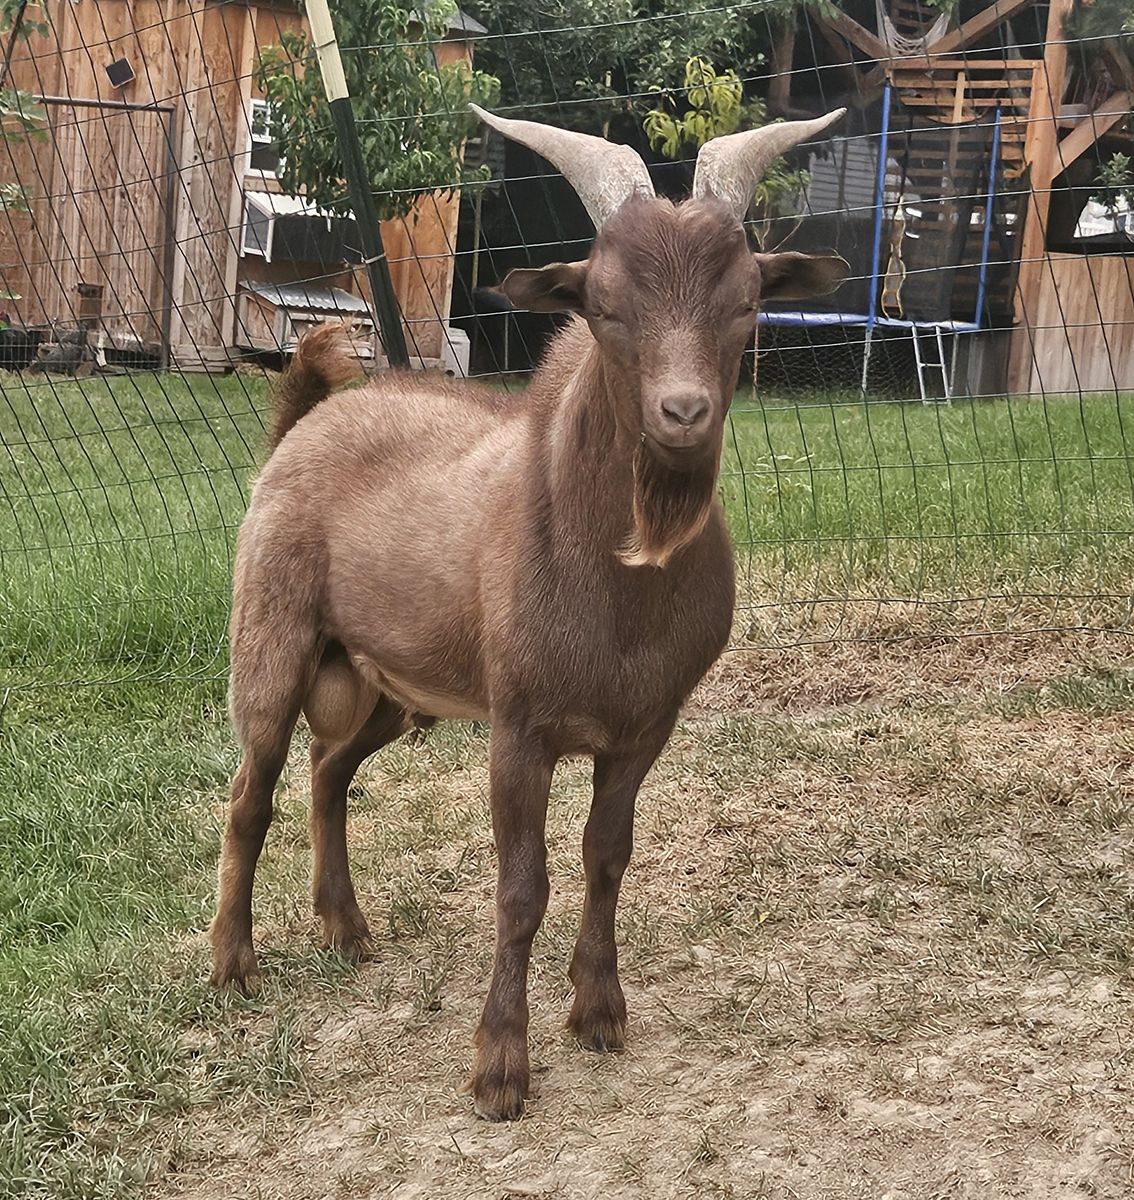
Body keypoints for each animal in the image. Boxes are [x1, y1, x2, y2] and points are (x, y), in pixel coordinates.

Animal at [210, 106, 847, 1121]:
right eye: (605, 304)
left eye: (748, 300)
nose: (684, 412)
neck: (620, 585)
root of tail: (303, 423)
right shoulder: (521, 724)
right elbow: (521, 887)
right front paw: (500, 1067)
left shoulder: (644, 727)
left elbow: (606, 857)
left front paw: (599, 1011)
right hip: (272, 636)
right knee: (252, 790)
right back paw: (234, 963)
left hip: (390, 685)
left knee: (329, 772)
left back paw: (346, 928)